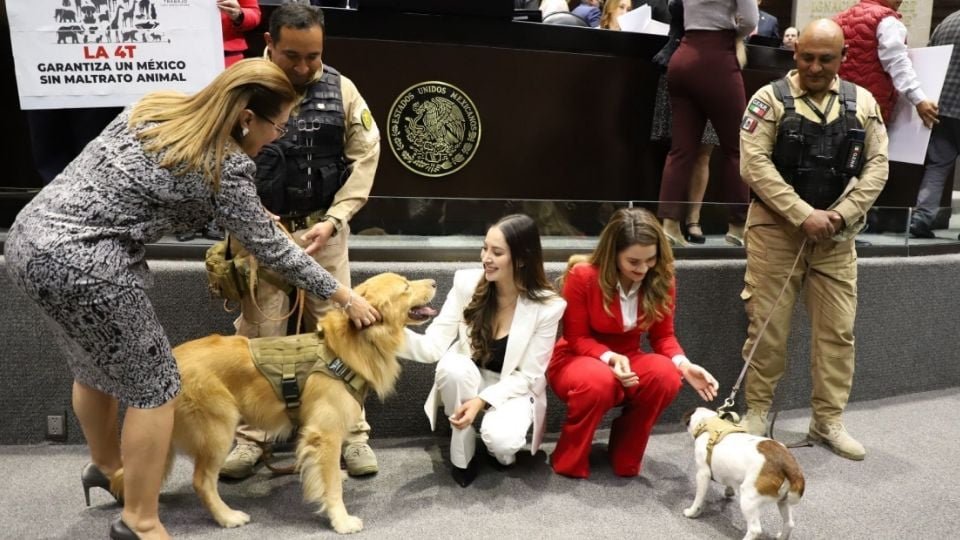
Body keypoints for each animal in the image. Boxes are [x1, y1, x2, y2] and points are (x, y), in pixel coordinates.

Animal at [684, 408, 804, 540]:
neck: (708, 422)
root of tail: (787, 463)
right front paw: (729, 491)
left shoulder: (702, 474)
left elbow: (698, 499)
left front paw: (692, 512)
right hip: (783, 501)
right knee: (789, 523)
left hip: (748, 499)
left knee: (755, 529)